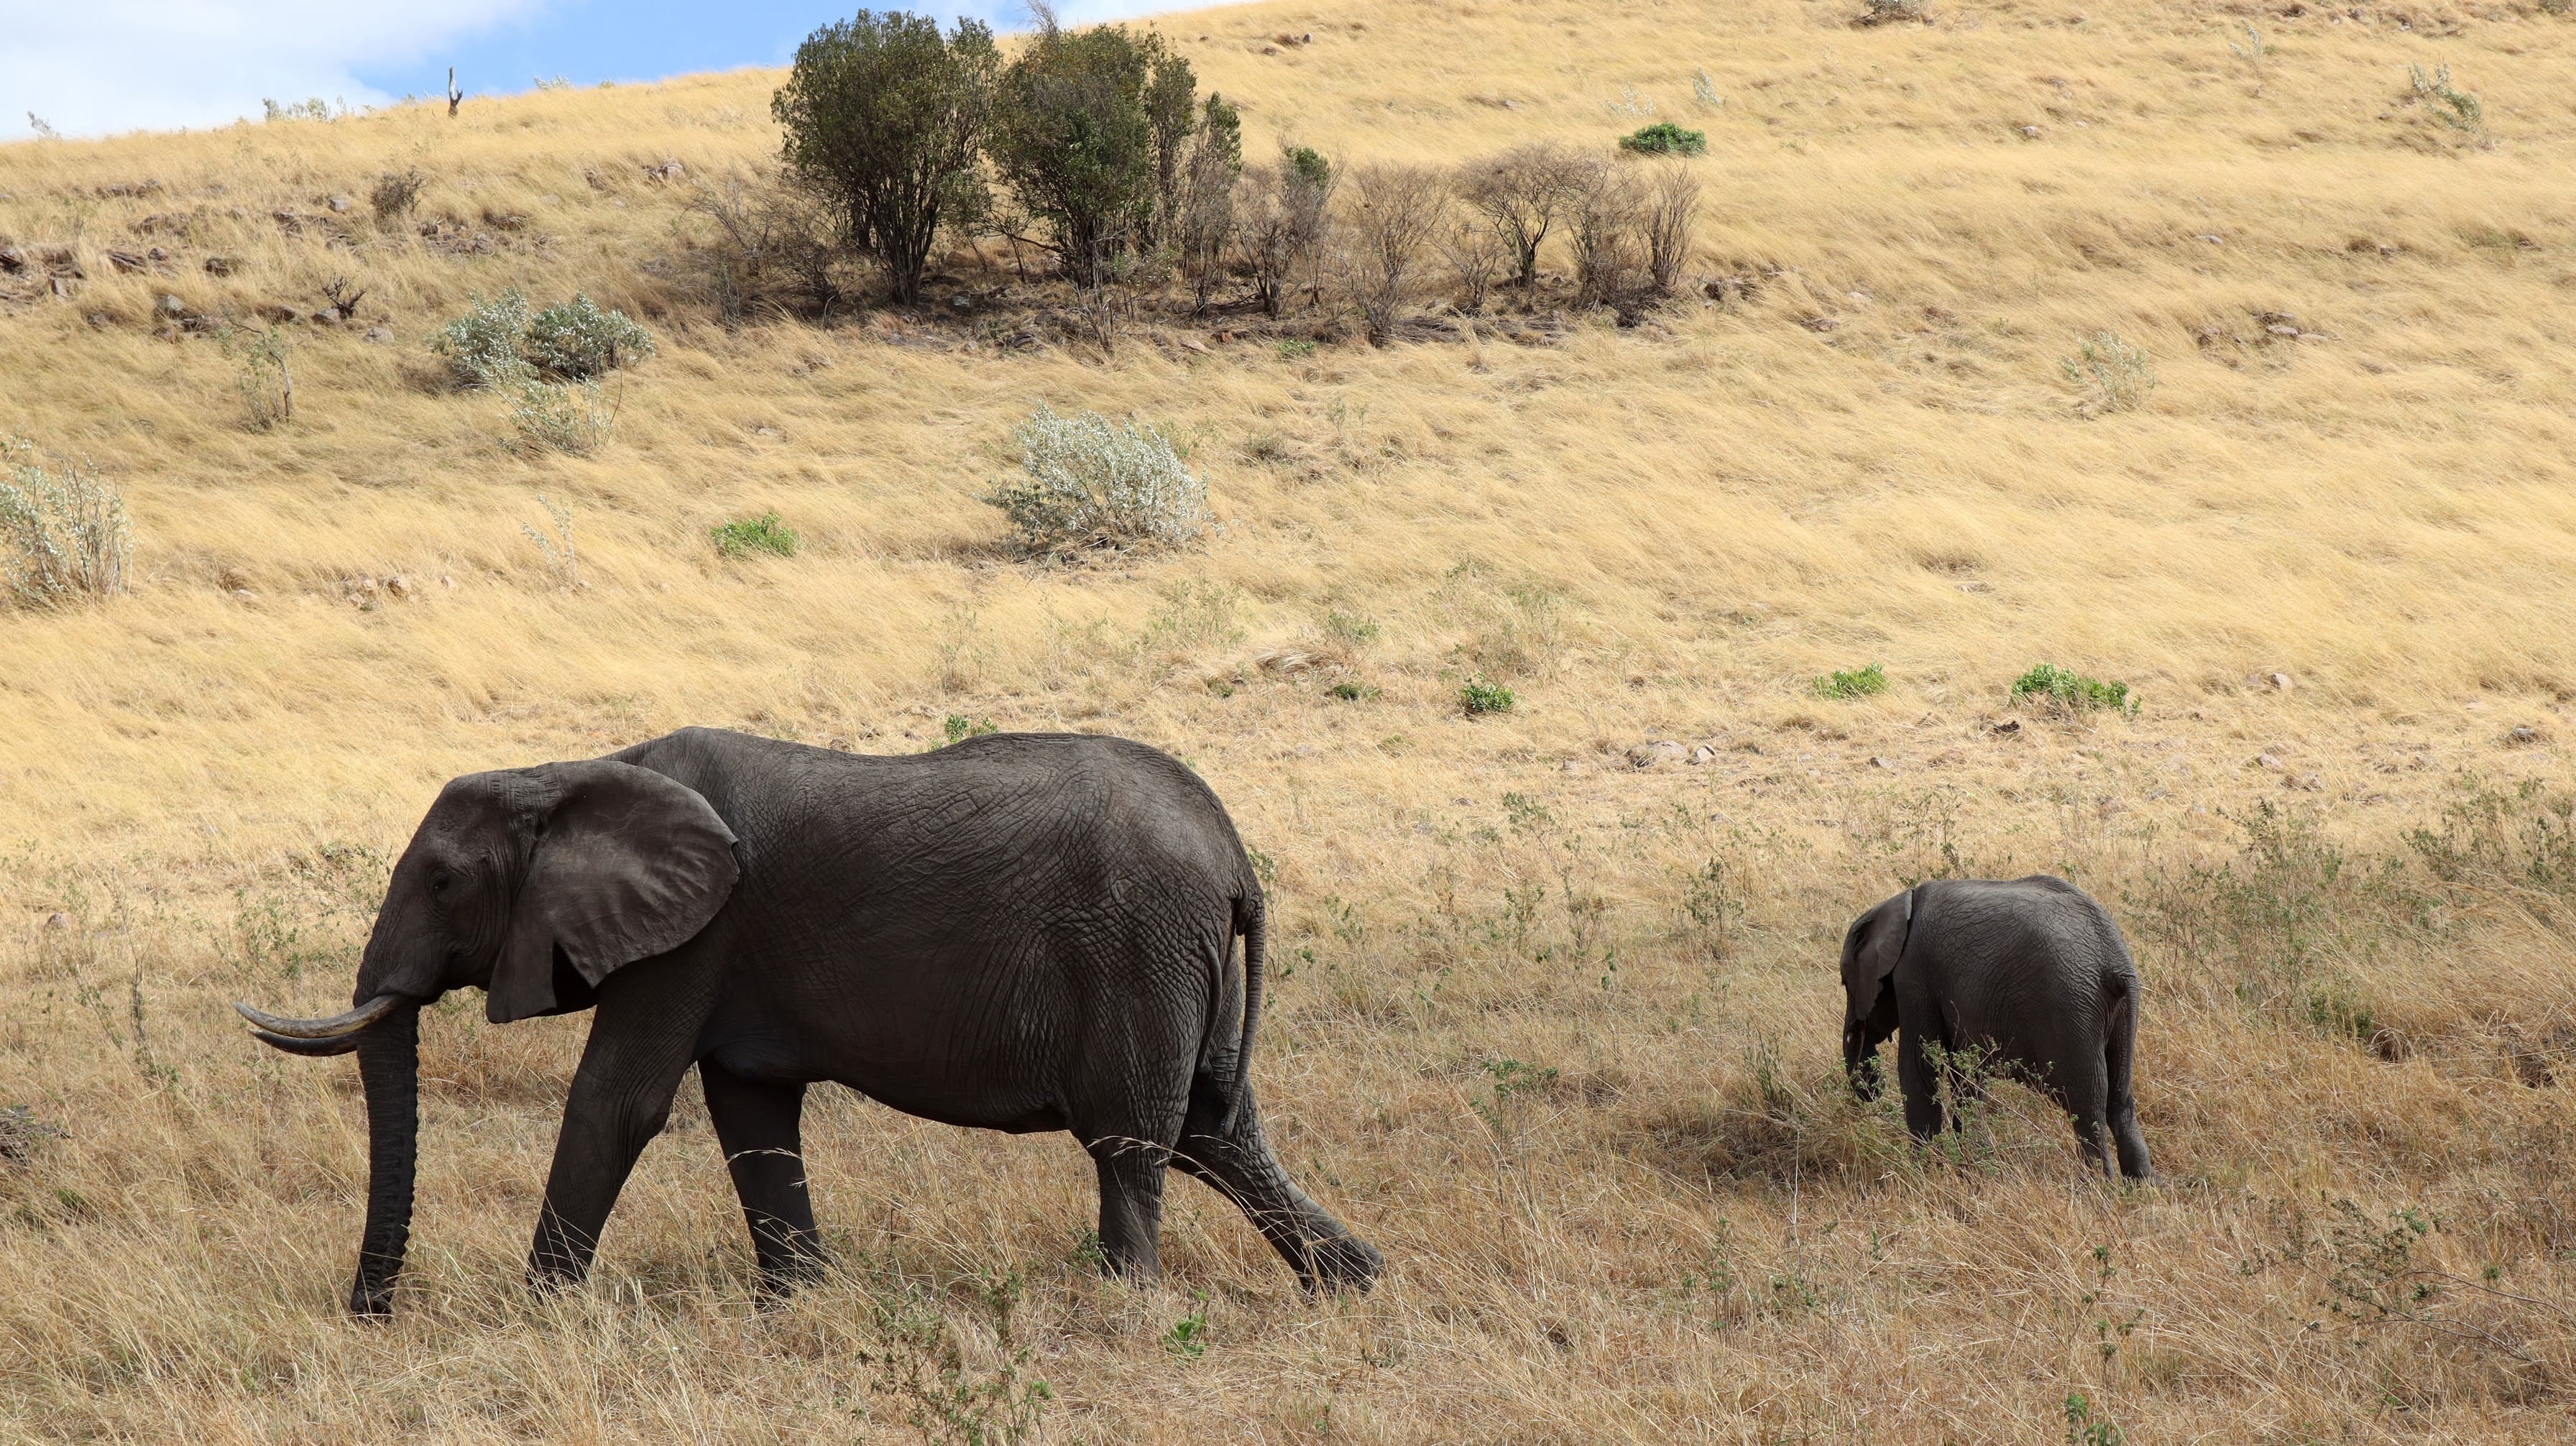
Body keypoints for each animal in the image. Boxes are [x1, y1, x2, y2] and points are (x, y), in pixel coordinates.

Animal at [237, 726, 1382, 1315]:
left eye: (440, 880)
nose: (369, 1313)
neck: (570, 766)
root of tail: (1235, 858)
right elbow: (750, 1115)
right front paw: (799, 1305)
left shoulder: (696, 936)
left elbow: (618, 1102)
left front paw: (540, 1314)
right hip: (1178, 965)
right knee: (1213, 1130)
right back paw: (1355, 1286)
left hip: (1138, 951)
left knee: (1136, 1140)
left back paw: (1123, 1308)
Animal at [1838, 875, 2153, 1180]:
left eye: (1845, 983)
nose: (1874, 1090)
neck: (1899, 904)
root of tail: (2115, 963)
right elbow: (1966, 1077)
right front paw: (1970, 1172)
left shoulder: (1913, 973)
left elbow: (1918, 1066)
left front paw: (1924, 1177)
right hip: (2121, 1011)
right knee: (2119, 1102)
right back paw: (2143, 1186)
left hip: (2072, 1007)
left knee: (2088, 1107)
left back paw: (2097, 1188)